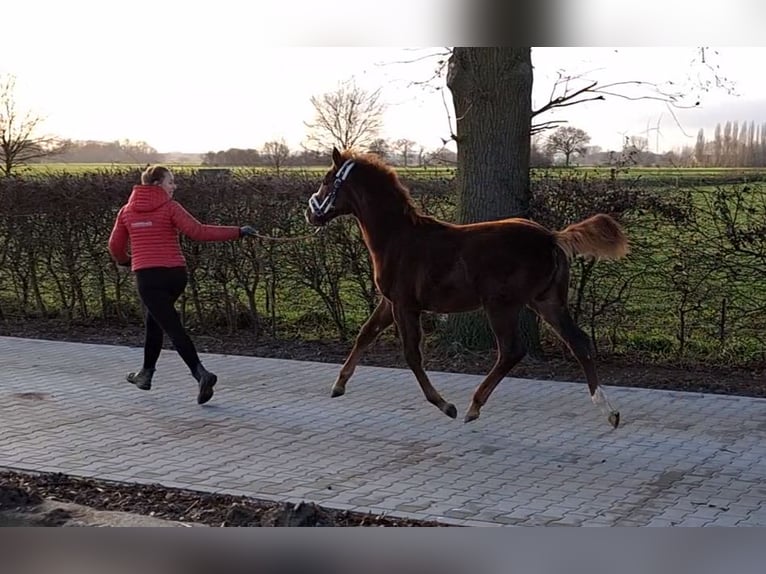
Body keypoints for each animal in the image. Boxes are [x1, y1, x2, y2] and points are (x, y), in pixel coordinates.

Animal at [306, 148, 632, 428]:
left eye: (326, 181)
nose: (310, 213)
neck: (398, 237)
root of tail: (551, 237)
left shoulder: (404, 305)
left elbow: (411, 354)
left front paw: (445, 405)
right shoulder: (390, 303)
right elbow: (366, 334)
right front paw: (338, 385)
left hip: (502, 305)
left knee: (511, 351)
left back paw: (473, 406)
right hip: (547, 301)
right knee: (579, 342)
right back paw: (609, 411)